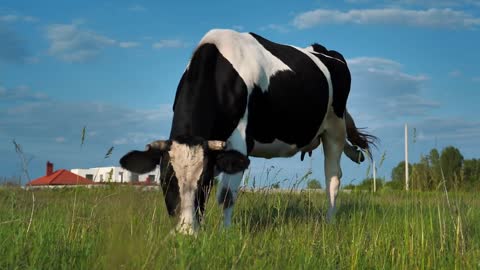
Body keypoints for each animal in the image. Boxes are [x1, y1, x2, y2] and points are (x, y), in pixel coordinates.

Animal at [119, 28, 376, 234]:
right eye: (165, 180)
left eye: (205, 182)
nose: (185, 234)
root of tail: (321, 49)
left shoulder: (239, 140)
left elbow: (226, 196)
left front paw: (225, 234)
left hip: (335, 129)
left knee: (333, 178)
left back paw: (329, 221)